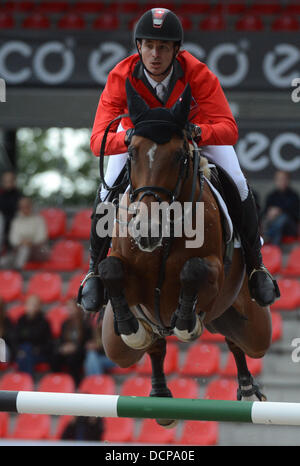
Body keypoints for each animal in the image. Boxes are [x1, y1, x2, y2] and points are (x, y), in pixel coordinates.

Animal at [97, 79, 270, 426]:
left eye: (179, 156)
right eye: (132, 153)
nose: (146, 229)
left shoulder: (214, 276)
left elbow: (194, 270)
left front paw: (185, 321)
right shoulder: (131, 280)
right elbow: (111, 269)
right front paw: (131, 327)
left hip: (253, 328)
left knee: (237, 343)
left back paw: (246, 390)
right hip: (115, 348)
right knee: (154, 345)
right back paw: (159, 393)